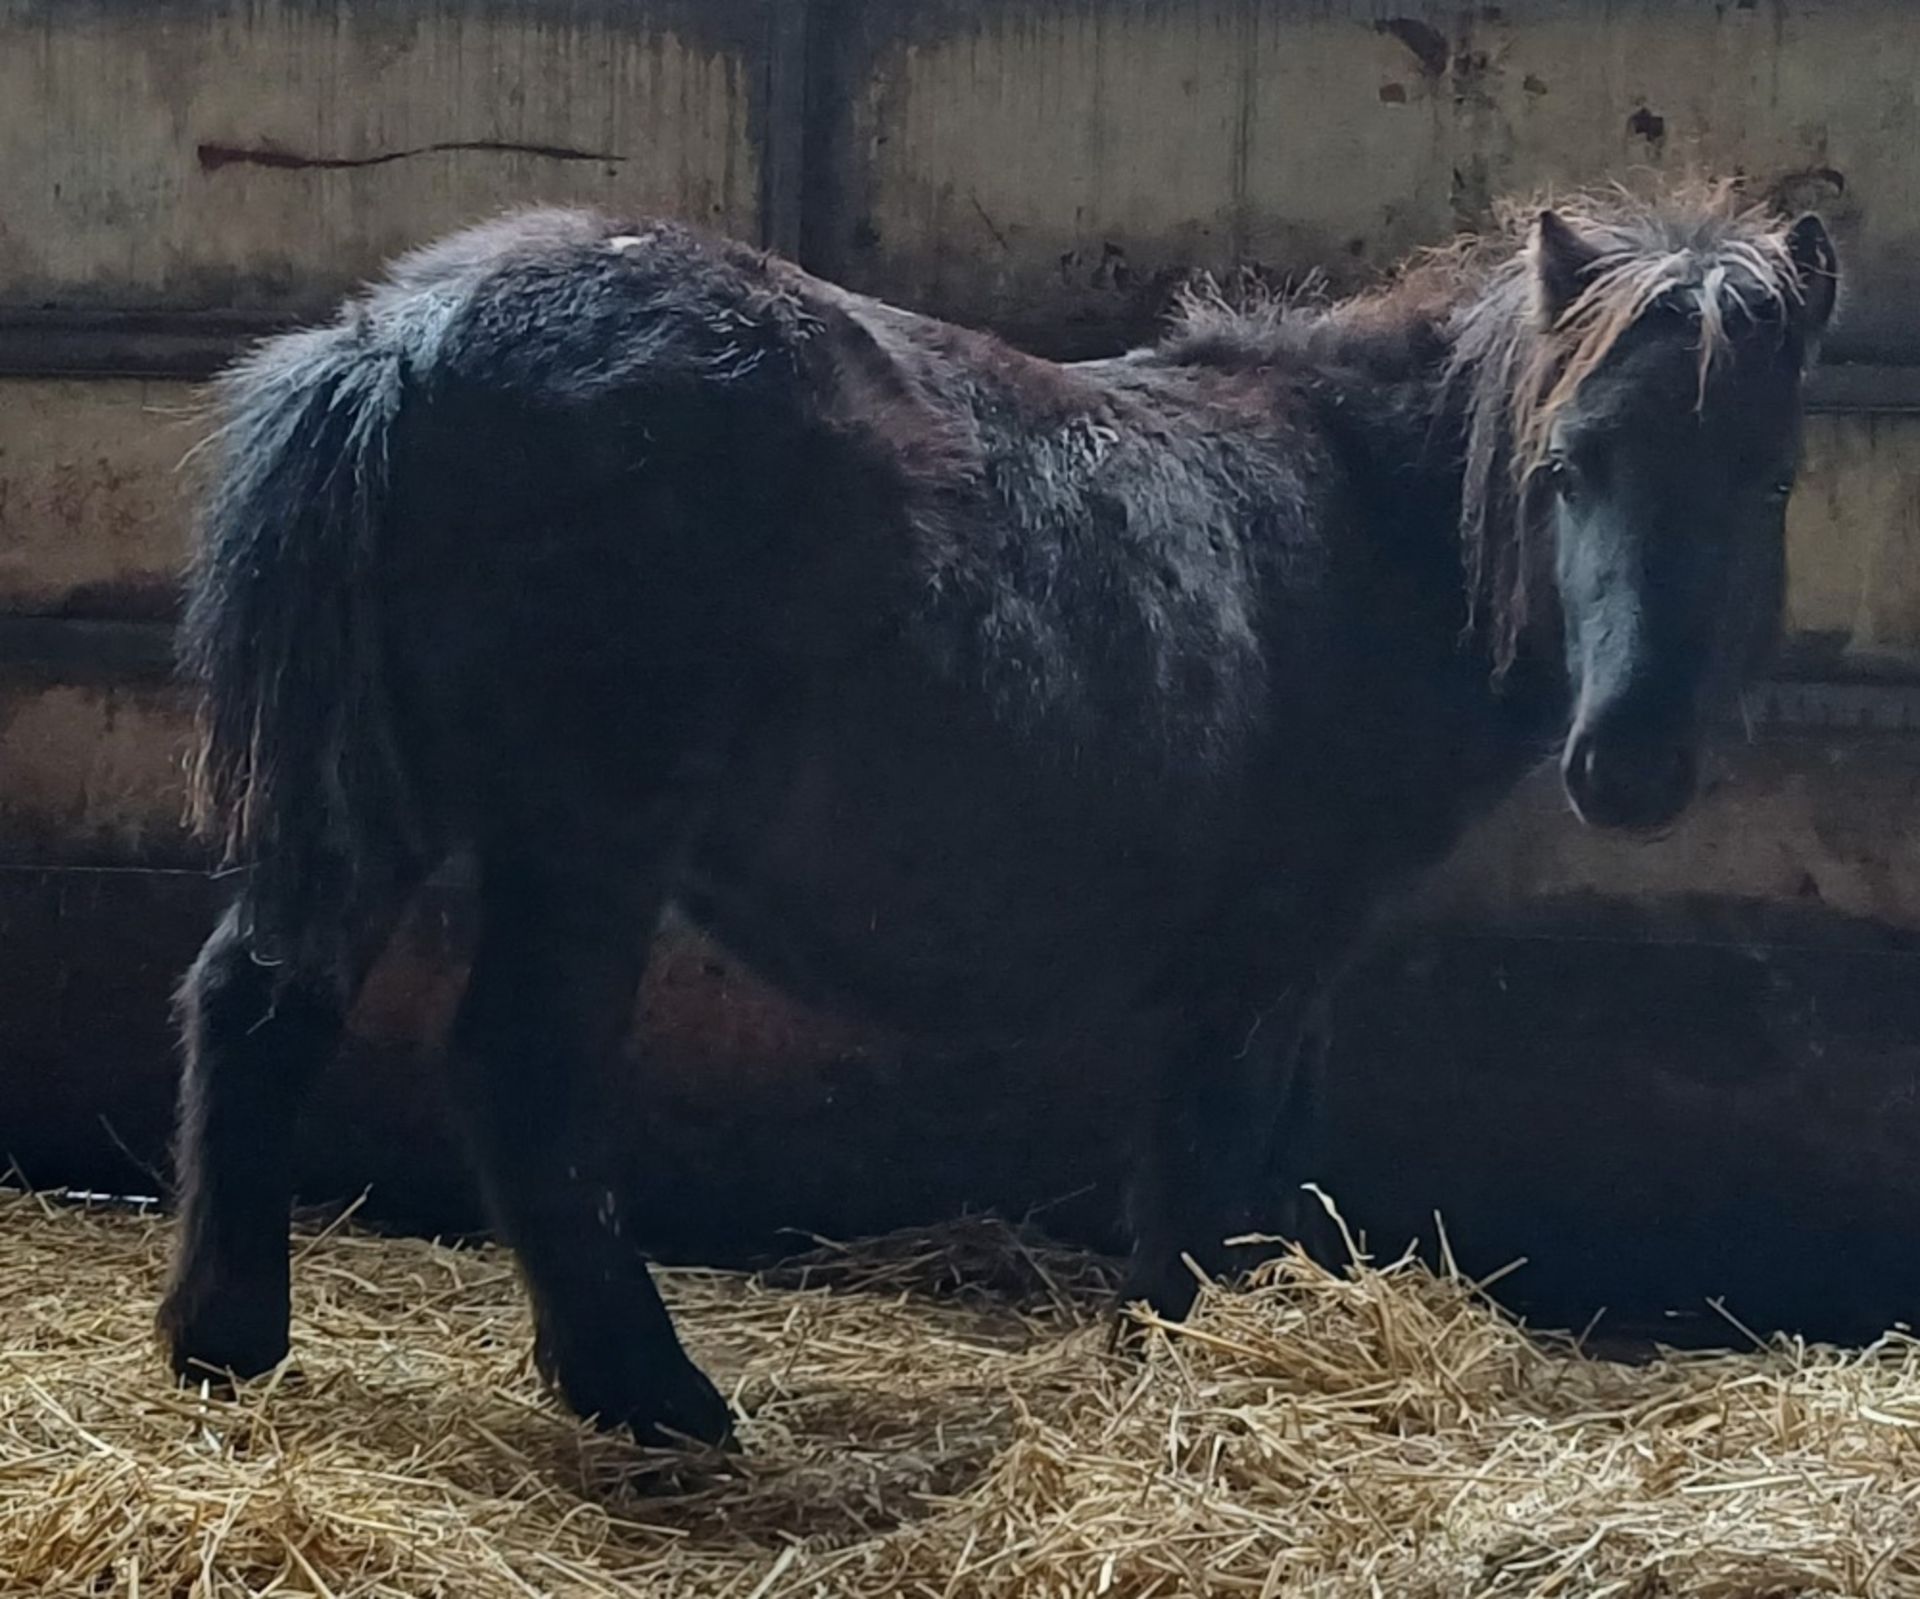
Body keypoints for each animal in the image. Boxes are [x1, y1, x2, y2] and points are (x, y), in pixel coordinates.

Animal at [157, 180, 1835, 1443]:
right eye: (1569, 465)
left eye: (1767, 481)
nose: (1633, 763)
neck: (1360, 520)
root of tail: (402, 336)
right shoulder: (1255, 957)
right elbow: (1210, 1172)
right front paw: (1191, 1365)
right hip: (584, 842)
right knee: (520, 1074)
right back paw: (655, 1395)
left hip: (387, 803)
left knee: (259, 1003)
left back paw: (227, 1340)